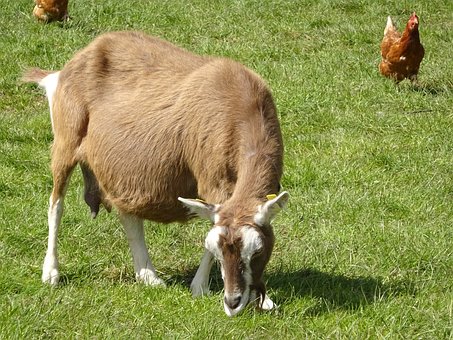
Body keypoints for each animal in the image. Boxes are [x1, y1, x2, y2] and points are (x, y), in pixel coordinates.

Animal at [23, 31, 288, 316]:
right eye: (216, 250)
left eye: (257, 251)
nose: (232, 302)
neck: (241, 104)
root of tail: (67, 68)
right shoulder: (212, 182)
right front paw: (200, 287)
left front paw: (265, 300)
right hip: (65, 143)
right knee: (56, 203)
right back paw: (51, 272)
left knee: (127, 212)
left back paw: (148, 275)